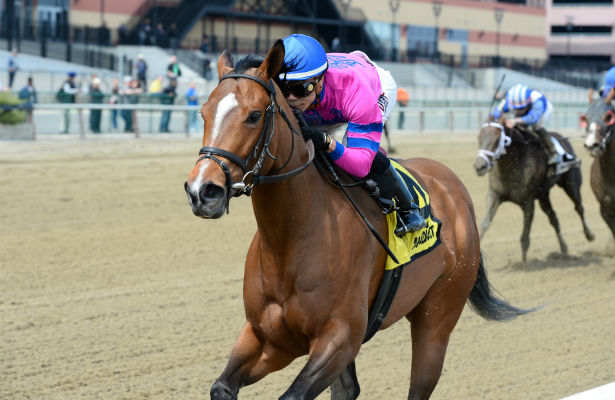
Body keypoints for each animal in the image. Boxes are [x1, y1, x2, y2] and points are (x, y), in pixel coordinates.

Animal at [185, 40, 532, 400]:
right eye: (203, 113)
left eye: (254, 115)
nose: (202, 191)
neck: (291, 239)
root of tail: (457, 191)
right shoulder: (268, 337)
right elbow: (222, 387)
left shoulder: (340, 338)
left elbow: (293, 394)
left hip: (438, 317)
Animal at [474, 119, 596, 262]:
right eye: (479, 137)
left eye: (497, 139)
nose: (479, 166)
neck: (514, 165)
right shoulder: (494, 195)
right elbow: (484, 224)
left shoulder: (528, 202)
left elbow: (525, 238)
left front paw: (524, 263)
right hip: (544, 196)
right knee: (553, 217)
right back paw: (564, 248)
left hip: (571, 184)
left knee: (579, 208)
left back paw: (589, 235)